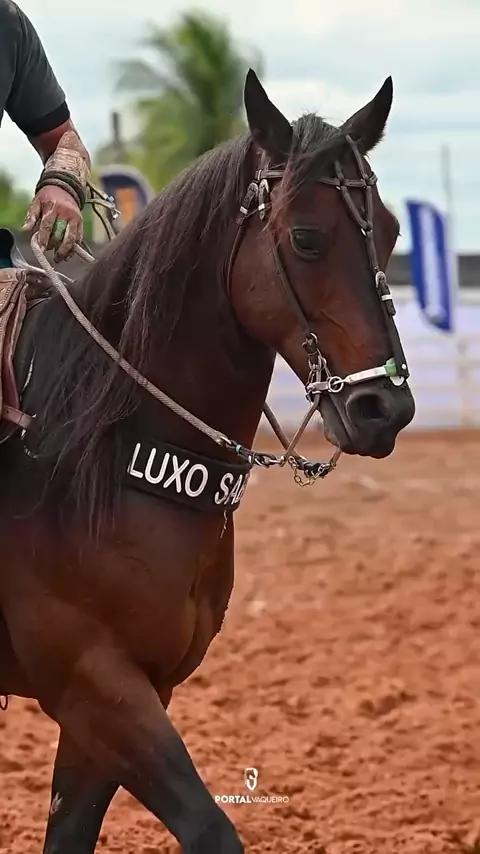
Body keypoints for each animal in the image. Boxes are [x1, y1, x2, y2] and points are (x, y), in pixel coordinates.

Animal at [0, 69, 414, 853]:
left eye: (393, 230)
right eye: (306, 238)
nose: (387, 408)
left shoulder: (127, 694)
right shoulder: (94, 682)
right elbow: (212, 829)